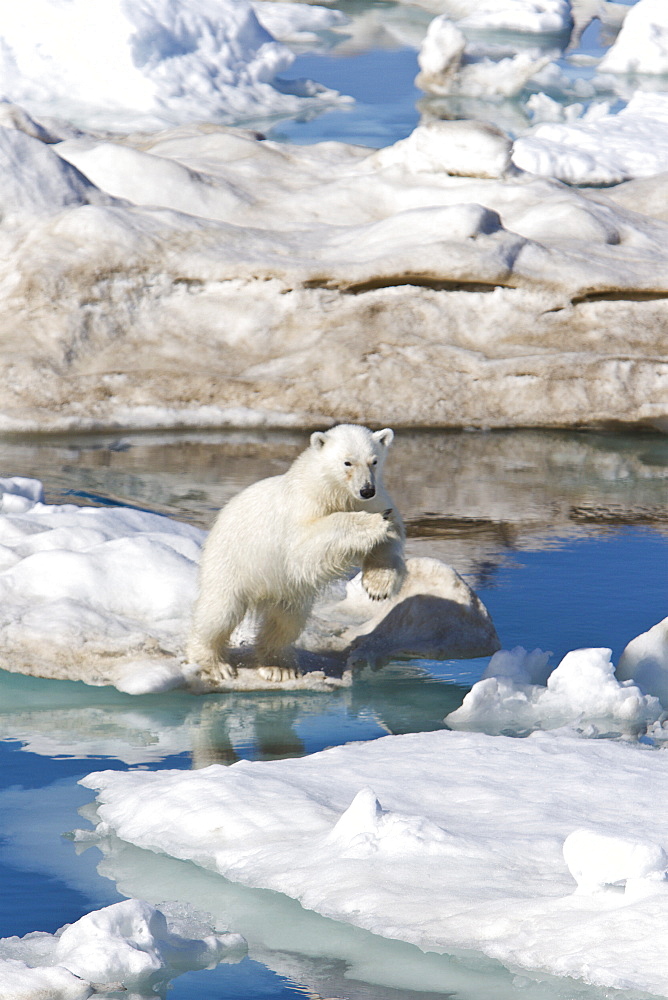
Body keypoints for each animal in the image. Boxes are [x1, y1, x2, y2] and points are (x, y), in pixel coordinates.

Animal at [188, 426, 408, 684]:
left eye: (374, 461)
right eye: (347, 462)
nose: (366, 489)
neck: (332, 491)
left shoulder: (375, 499)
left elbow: (389, 540)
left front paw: (378, 587)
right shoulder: (302, 506)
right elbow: (305, 545)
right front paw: (373, 522)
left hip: (287, 589)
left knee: (285, 621)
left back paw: (278, 667)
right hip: (231, 562)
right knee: (220, 612)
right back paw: (214, 664)